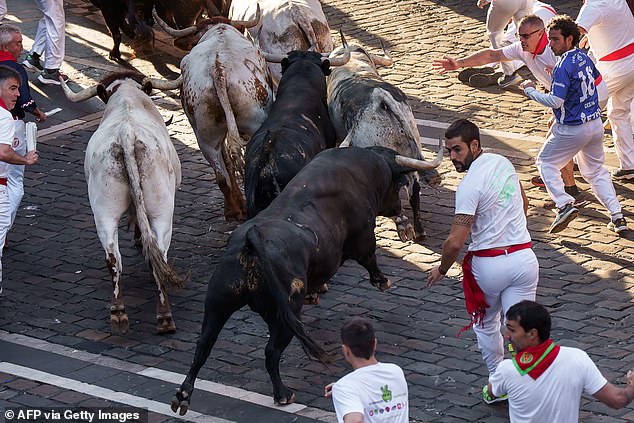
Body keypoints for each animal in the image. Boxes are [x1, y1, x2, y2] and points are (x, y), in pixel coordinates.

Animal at [59, 73, 184, 338]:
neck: (128, 98)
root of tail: (127, 136)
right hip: (162, 211)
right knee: (159, 252)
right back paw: (164, 317)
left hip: (104, 212)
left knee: (113, 257)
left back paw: (118, 312)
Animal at [154, 9, 272, 222]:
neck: (218, 30)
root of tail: (218, 69)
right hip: (254, 123)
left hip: (205, 133)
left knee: (221, 175)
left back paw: (235, 210)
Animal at [173, 147, 418, 414]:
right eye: (396, 186)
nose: (398, 210)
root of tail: (250, 240)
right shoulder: (363, 236)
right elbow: (369, 256)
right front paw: (383, 281)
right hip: (283, 315)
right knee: (271, 351)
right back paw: (282, 394)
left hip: (218, 302)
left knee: (203, 345)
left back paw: (183, 395)